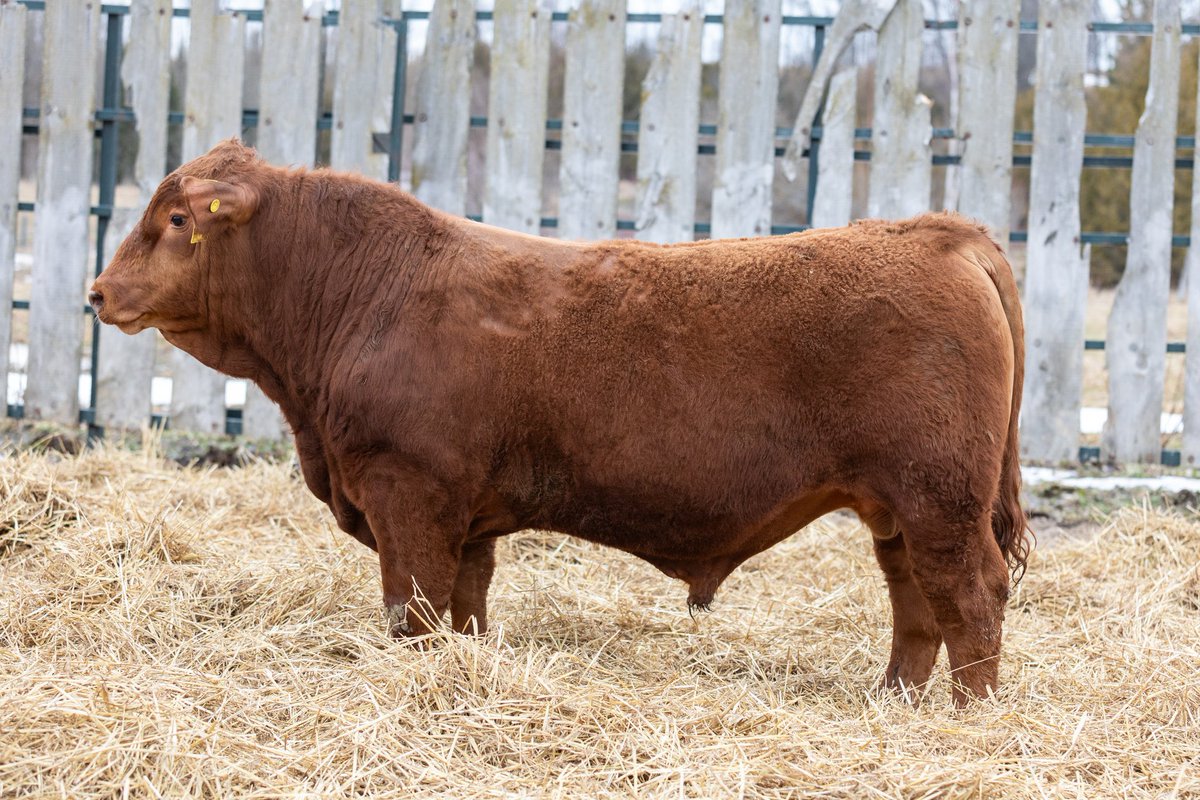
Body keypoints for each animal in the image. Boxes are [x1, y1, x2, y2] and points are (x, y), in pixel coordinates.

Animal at [89, 139, 1030, 706]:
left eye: (176, 219)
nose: (98, 293)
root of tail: (943, 234)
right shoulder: (466, 520)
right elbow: (463, 609)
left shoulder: (409, 494)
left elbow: (412, 611)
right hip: (896, 507)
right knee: (916, 604)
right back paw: (894, 702)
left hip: (941, 496)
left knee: (971, 594)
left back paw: (967, 717)